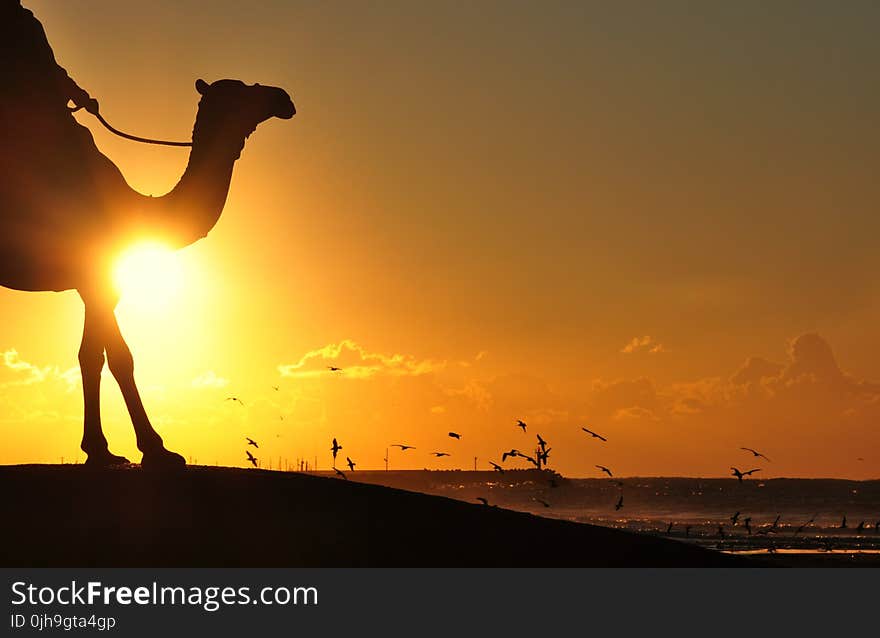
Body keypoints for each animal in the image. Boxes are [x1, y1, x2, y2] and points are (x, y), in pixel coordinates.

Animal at [0, 79, 296, 470]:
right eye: (243, 90)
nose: (283, 98)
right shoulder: (94, 273)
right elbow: (119, 357)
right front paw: (155, 449)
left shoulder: (99, 281)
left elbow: (93, 356)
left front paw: (101, 449)